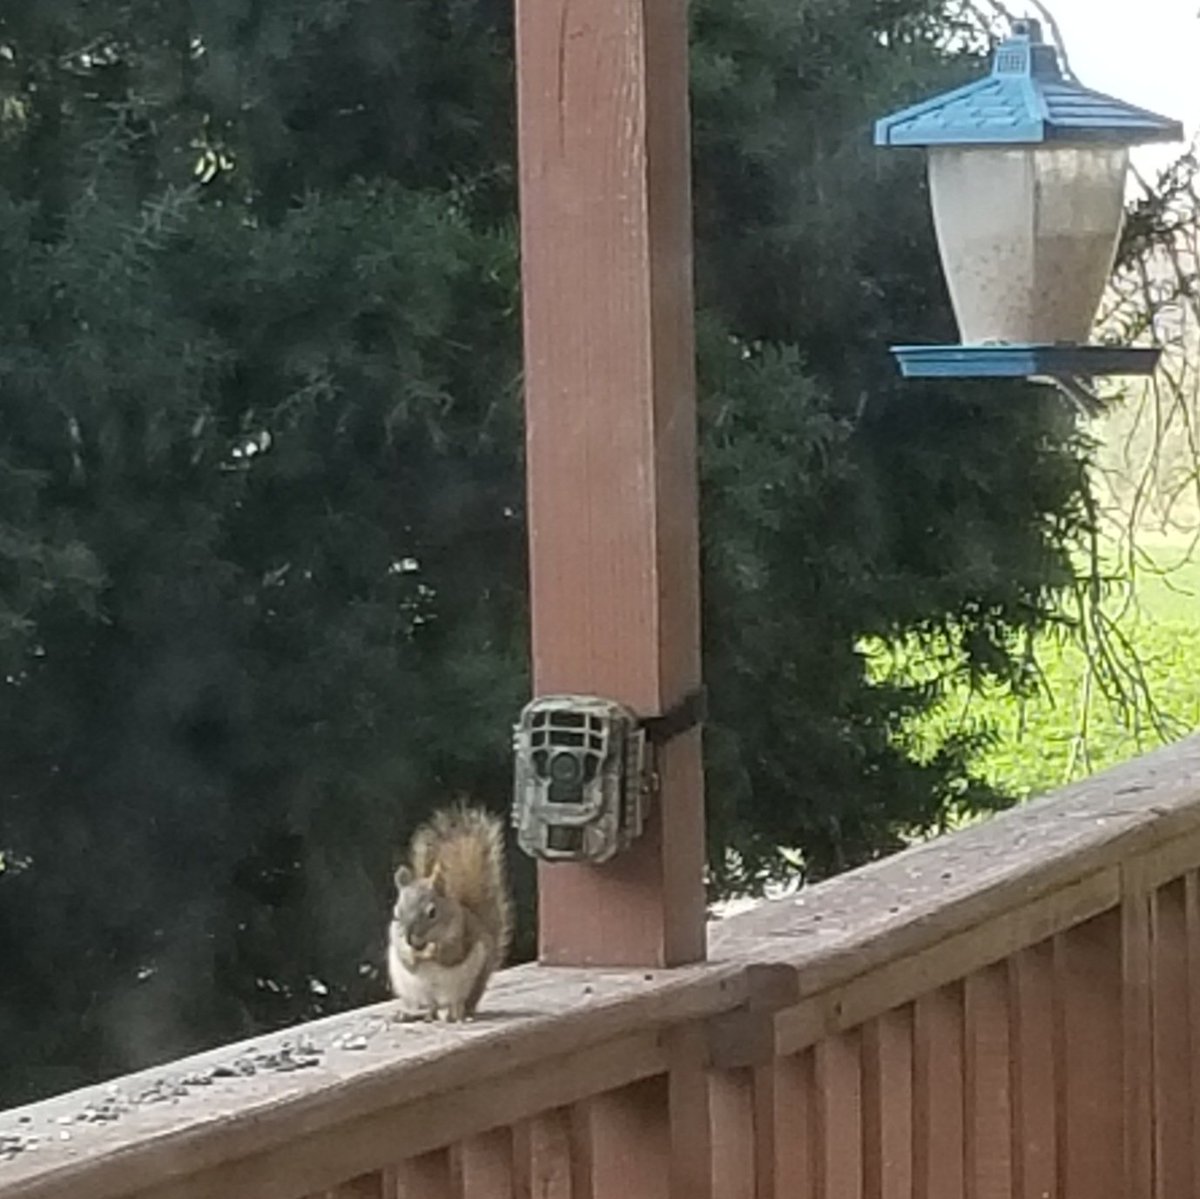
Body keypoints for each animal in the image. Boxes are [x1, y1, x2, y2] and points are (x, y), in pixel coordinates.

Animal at [387, 804, 513, 1023]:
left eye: (432, 912)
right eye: (396, 914)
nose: (410, 938)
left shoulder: (461, 934)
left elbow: (450, 954)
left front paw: (432, 951)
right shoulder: (395, 937)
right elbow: (404, 957)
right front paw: (411, 955)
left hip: (468, 984)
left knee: (456, 1005)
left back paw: (457, 1016)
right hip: (414, 991)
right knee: (431, 1008)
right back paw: (412, 1015)